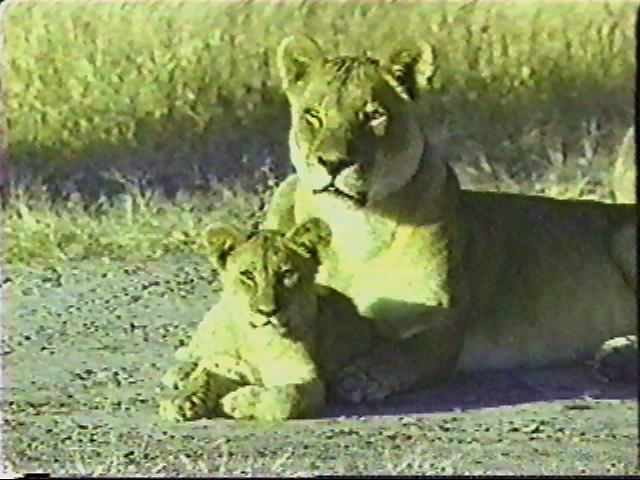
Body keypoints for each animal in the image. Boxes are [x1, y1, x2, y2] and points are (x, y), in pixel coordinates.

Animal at [158, 217, 374, 421]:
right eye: (247, 275)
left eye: (287, 273)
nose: (267, 312)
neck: (253, 340)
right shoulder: (225, 364)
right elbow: (204, 376)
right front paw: (183, 400)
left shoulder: (307, 377)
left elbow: (287, 396)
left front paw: (236, 401)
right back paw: (180, 373)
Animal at [264, 35, 637, 404]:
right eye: (313, 115)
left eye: (374, 115)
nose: (332, 162)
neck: (352, 225)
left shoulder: (443, 321)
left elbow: (404, 354)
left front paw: (361, 377)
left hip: (624, 236)